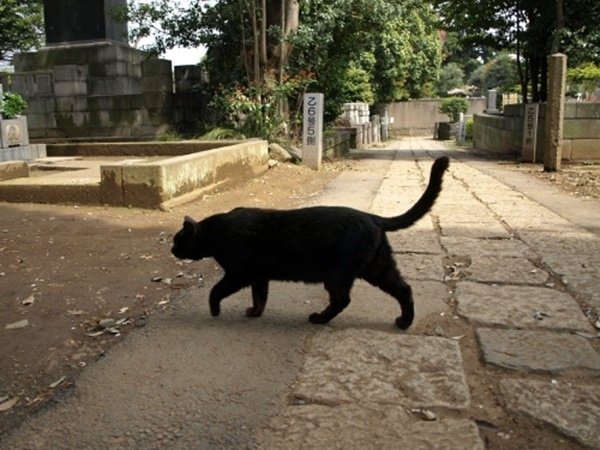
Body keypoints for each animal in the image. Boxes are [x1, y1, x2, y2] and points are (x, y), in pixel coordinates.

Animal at [171, 156, 448, 328]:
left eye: (177, 240)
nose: (172, 249)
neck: (216, 232)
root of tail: (372, 217)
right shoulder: (259, 276)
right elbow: (260, 298)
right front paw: (254, 313)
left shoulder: (239, 274)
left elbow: (216, 290)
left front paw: (214, 310)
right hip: (378, 268)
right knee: (404, 289)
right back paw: (404, 322)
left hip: (338, 275)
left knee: (342, 300)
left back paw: (318, 319)